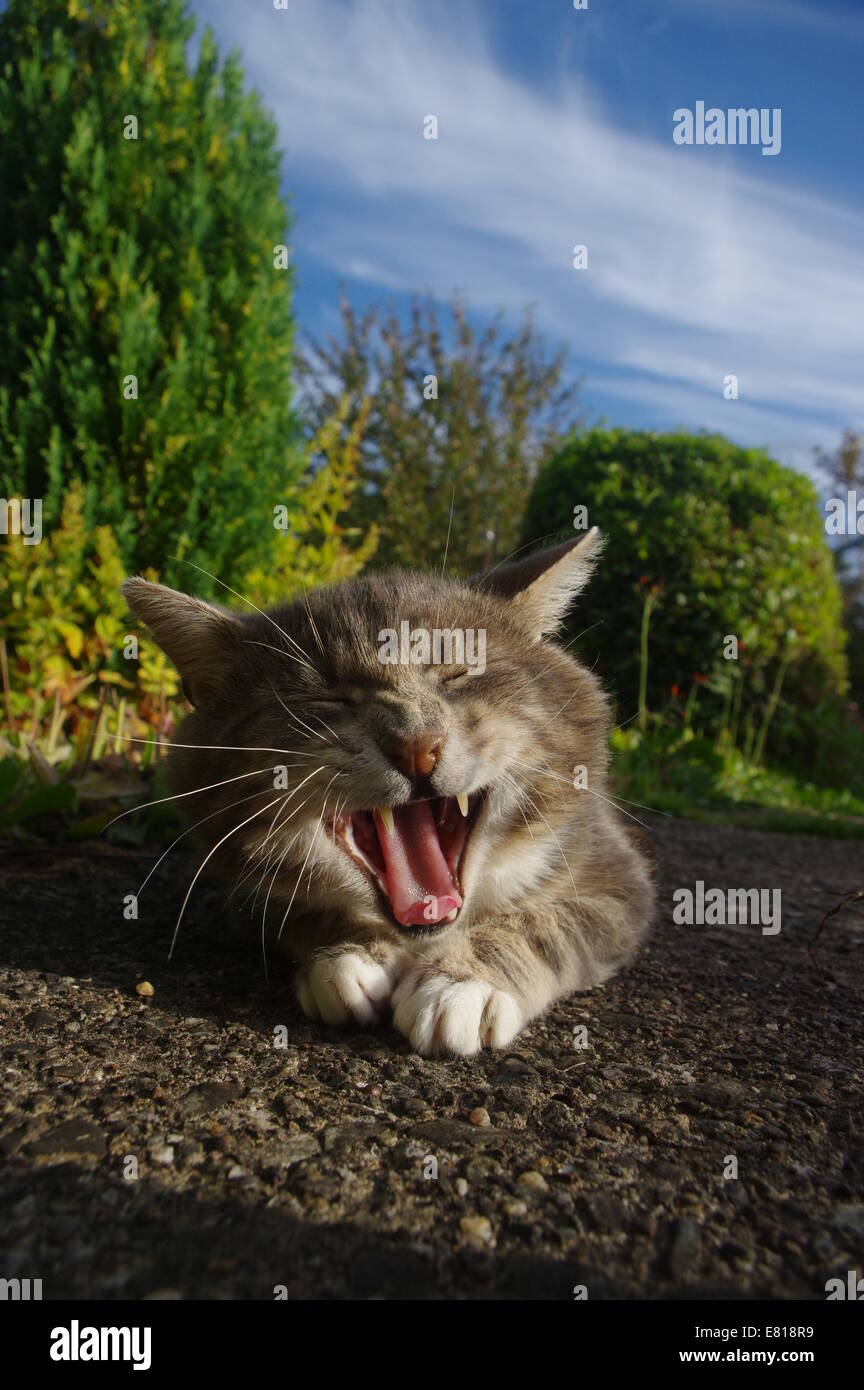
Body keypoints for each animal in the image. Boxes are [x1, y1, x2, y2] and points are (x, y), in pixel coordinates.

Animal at [123, 528, 655, 1050]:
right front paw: (348, 958)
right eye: (329, 696)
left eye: (460, 672)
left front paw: (461, 983)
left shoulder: (616, 877)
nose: (416, 744)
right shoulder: (243, 887)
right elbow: (299, 912)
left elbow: (547, 922)